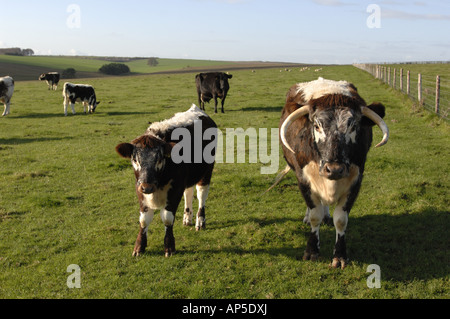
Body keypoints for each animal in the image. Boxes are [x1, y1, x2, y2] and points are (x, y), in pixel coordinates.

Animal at [114, 105, 216, 258]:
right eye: (135, 159)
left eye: (159, 159)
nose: (147, 187)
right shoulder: (139, 189)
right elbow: (143, 220)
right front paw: (139, 246)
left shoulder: (175, 188)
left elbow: (167, 218)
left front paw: (169, 246)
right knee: (189, 193)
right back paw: (187, 218)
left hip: (206, 172)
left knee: (201, 195)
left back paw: (200, 221)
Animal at [272, 78, 388, 270]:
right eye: (316, 126)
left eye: (353, 125)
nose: (334, 169)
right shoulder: (304, 180)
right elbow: (315, 215)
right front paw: (311, 251)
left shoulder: (356, 181)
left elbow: (340, 219)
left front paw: (340, 256)